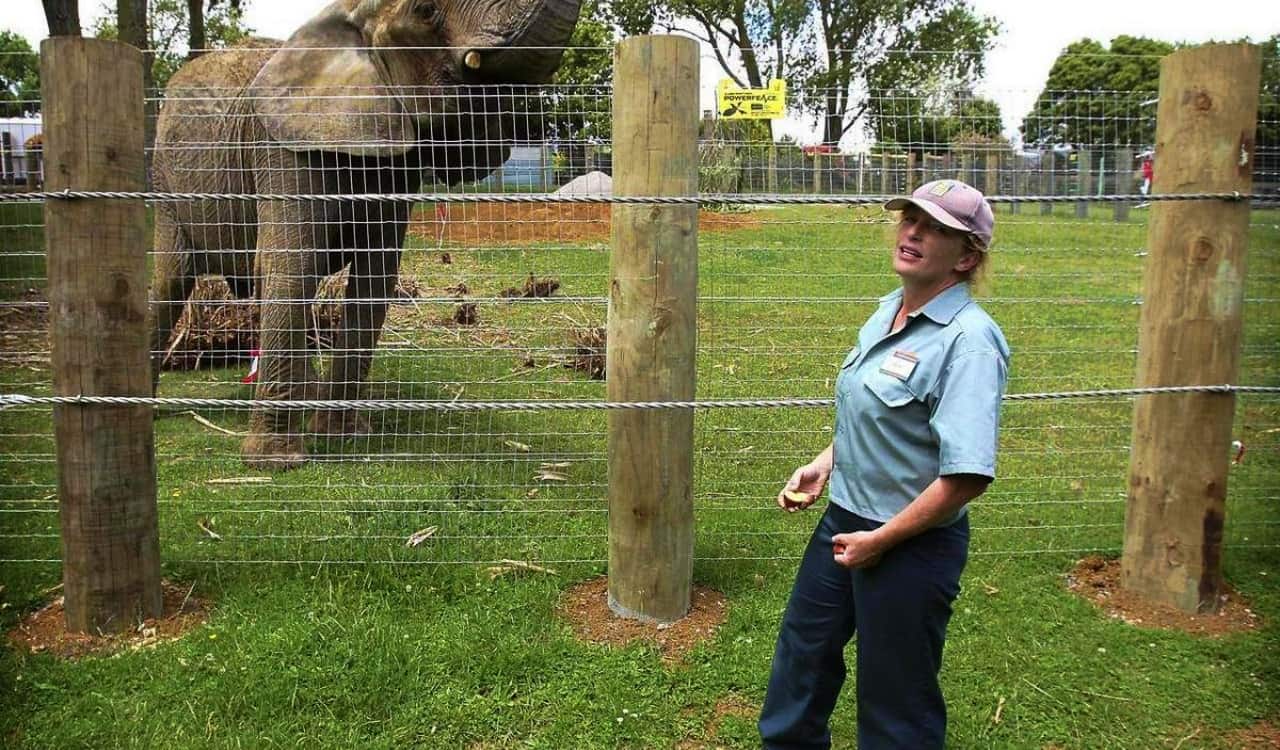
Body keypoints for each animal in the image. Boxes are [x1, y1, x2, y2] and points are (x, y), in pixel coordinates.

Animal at [149, 0, 586, 465]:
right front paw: (275, 463)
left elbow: (373, 279)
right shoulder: (281, 148)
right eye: (426, 12)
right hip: (164, 179)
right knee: (172, 281)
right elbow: (293, 269)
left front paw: (343, 437)